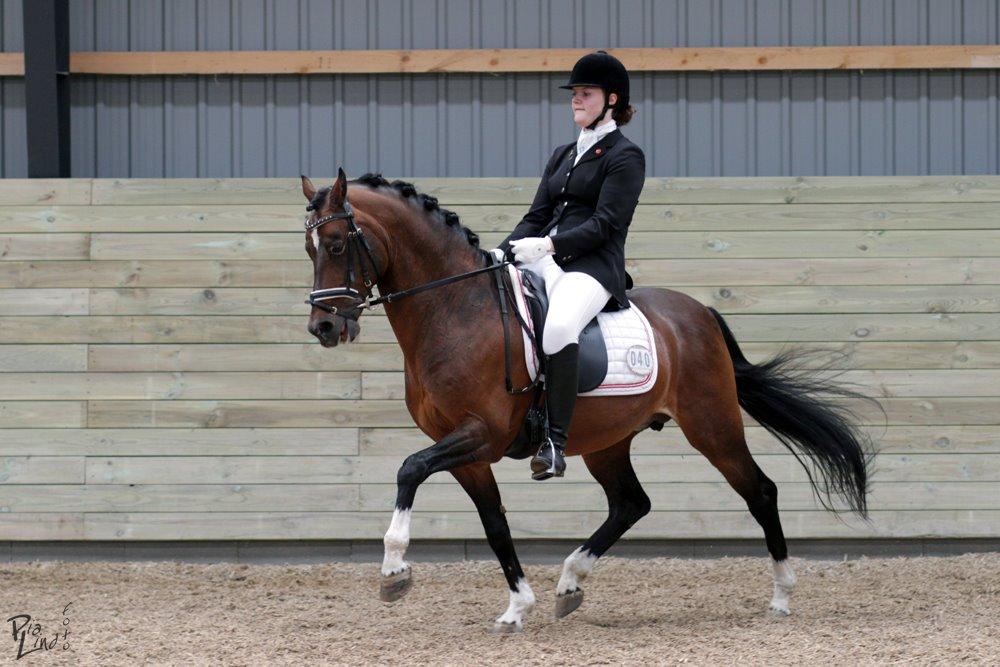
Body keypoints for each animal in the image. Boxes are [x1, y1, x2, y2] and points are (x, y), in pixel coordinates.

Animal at [301, 168, 880, 633]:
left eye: (336, 244)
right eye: (309, 249)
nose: (324, 328)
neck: (454, 307)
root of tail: (699, 312)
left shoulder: (480, 433)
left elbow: (408, 469)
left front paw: (393, 570)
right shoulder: (467, 452)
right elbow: (495, 525)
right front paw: (517, 608)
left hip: (711, 424)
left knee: (759, 491)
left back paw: (782, 596)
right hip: (608, 441)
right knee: (631, 503)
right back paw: (570, 582)